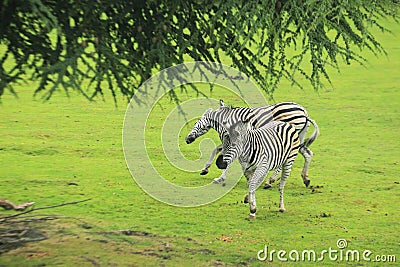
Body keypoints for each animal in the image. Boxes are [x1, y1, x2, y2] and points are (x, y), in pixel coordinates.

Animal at [186, 100, 320, 188]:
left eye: (195, 123)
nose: (187, 140)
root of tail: (304, 112)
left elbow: (226, 157)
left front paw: (220, 178)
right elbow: (216, 150)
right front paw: (205, 169)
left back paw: (270, 181)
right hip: (297, 139)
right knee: (307, 153)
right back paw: (305, 178)